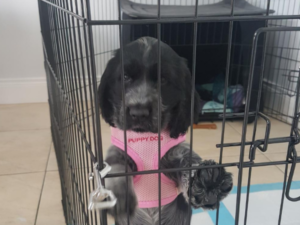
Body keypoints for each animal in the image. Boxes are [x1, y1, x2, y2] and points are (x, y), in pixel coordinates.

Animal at [98, 36, 232, 224]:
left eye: (163, 80)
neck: (146, 138)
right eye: (125, 77)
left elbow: (189, 161)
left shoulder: (174, 156)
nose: (138, 112)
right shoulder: (119, 151)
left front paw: (208, 182)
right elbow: (115, 168)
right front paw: (118, 196)